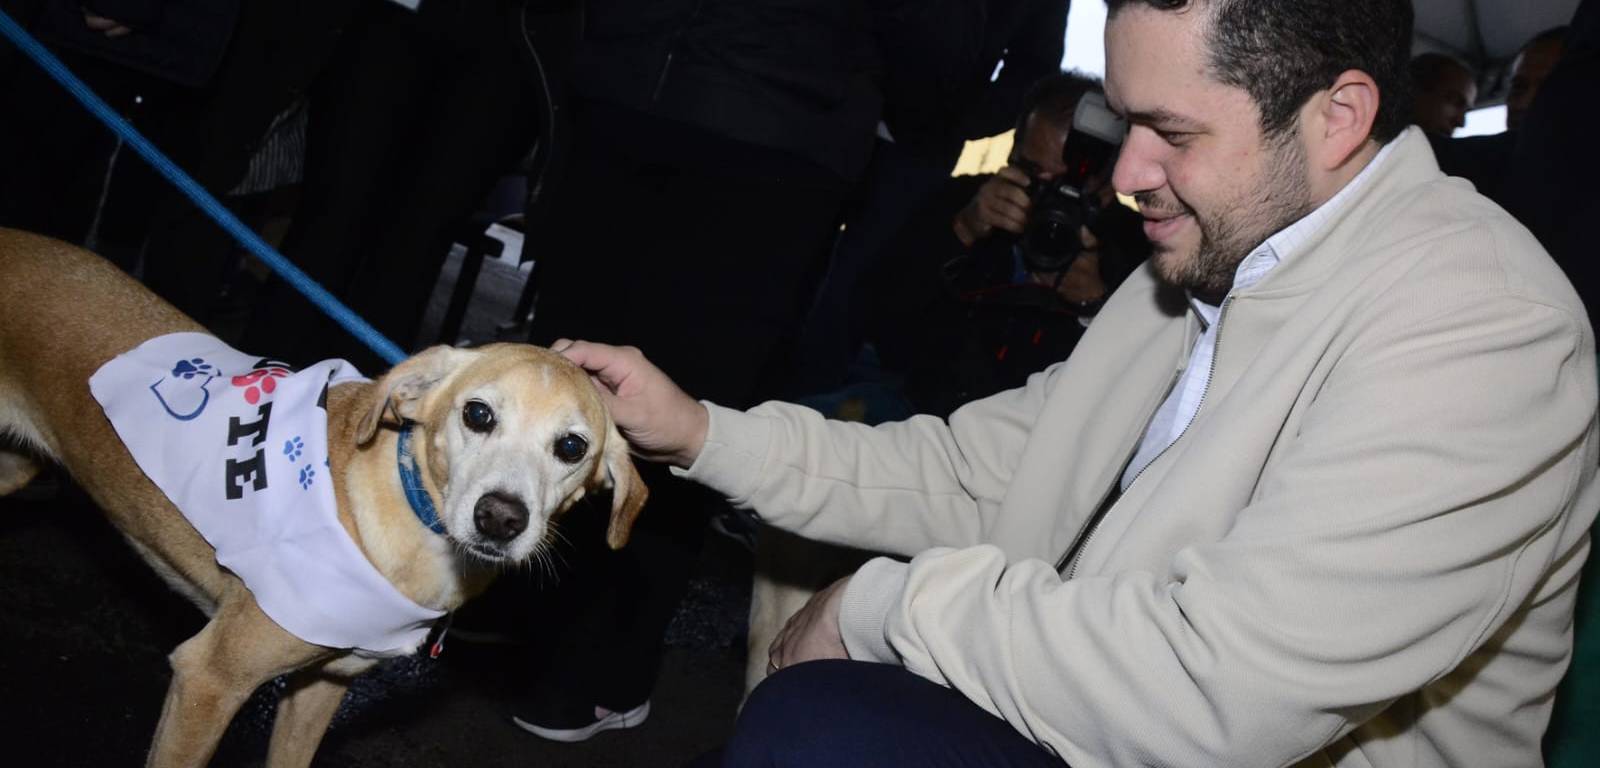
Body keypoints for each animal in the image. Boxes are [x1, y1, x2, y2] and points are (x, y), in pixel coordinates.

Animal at [0, 228, 647, 767]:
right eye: (479, 414)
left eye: (571, 446)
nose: (500, 519)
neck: (408, 518)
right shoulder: (207, 680)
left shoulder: (320, 690)